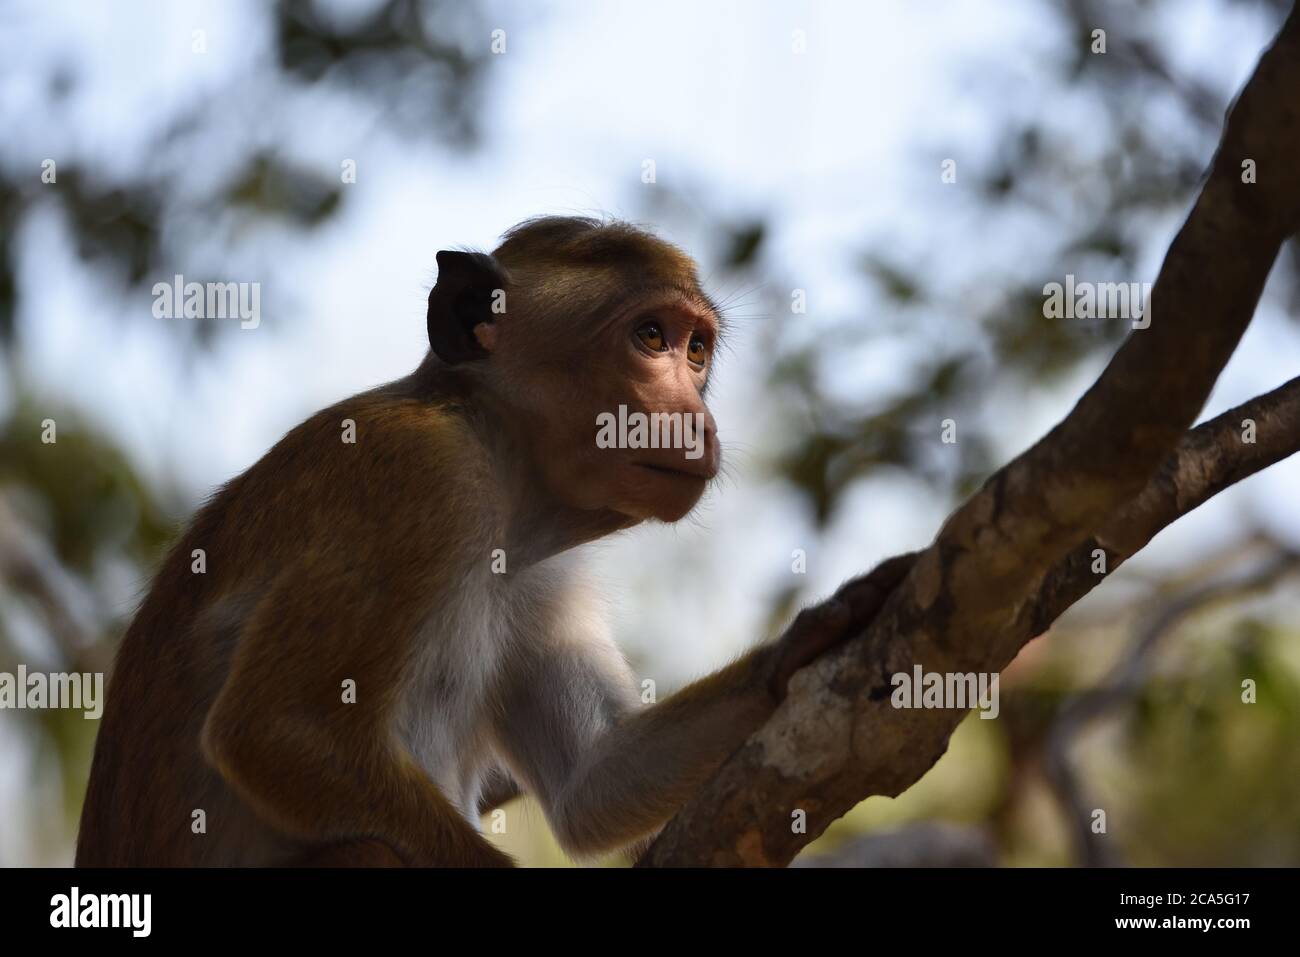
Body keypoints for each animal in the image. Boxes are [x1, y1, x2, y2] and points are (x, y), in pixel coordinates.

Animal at [75, 216, 916, 867]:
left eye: (697, 350)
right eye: (650, 336)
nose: (696, 416)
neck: (502, 465)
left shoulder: (542, 576)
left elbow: (592, 781)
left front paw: (810, 640)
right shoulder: (418, 481)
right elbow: (273, 729)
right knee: (368, 848)